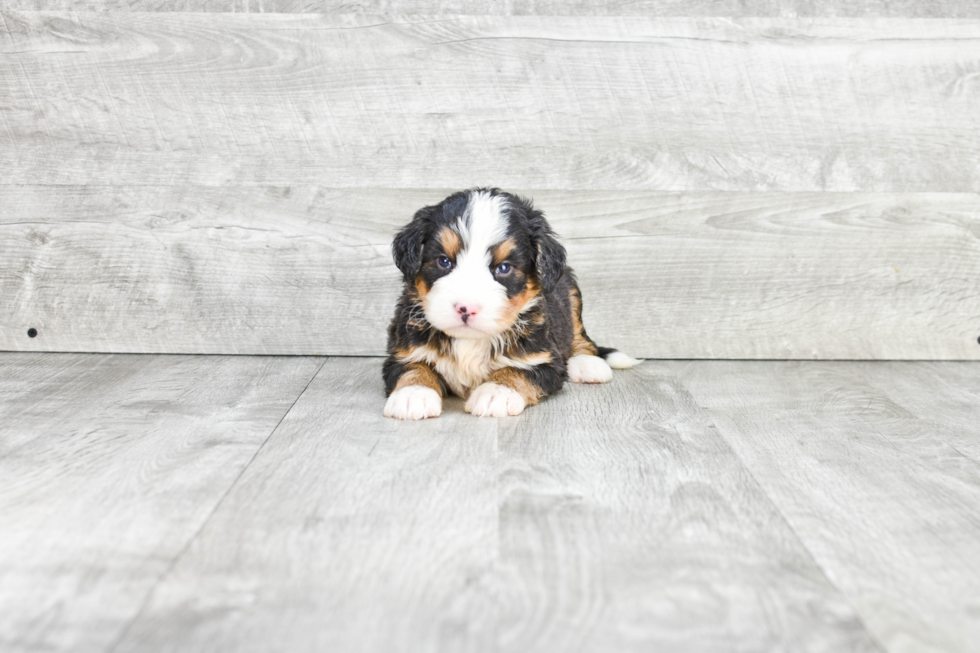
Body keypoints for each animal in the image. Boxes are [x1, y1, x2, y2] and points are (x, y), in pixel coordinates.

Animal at [378, 186, 640, 420]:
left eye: (503, 268)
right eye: (444, 261)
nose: (466, 308)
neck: (470, 341)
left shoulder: (544, 358)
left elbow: (517, 370)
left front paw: (496, 392)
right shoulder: (402, 349)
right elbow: (414, 367)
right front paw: (413, 393)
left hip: (571, 293)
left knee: (581, 338)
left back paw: (588, 364)